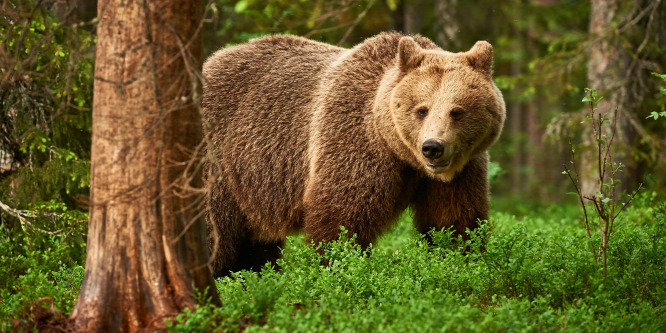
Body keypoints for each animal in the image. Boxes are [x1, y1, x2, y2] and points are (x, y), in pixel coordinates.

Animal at [202, 32, 504, 276]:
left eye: (457, 111)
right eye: (422, 109)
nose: (432, 146)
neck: (401, 153)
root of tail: (207, 63)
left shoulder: (461, 172)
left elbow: (453, 221)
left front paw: (460, 261)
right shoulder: (354, 142)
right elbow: (342, 220)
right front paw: (337, 268)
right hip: (219, 159)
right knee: (216, 233)